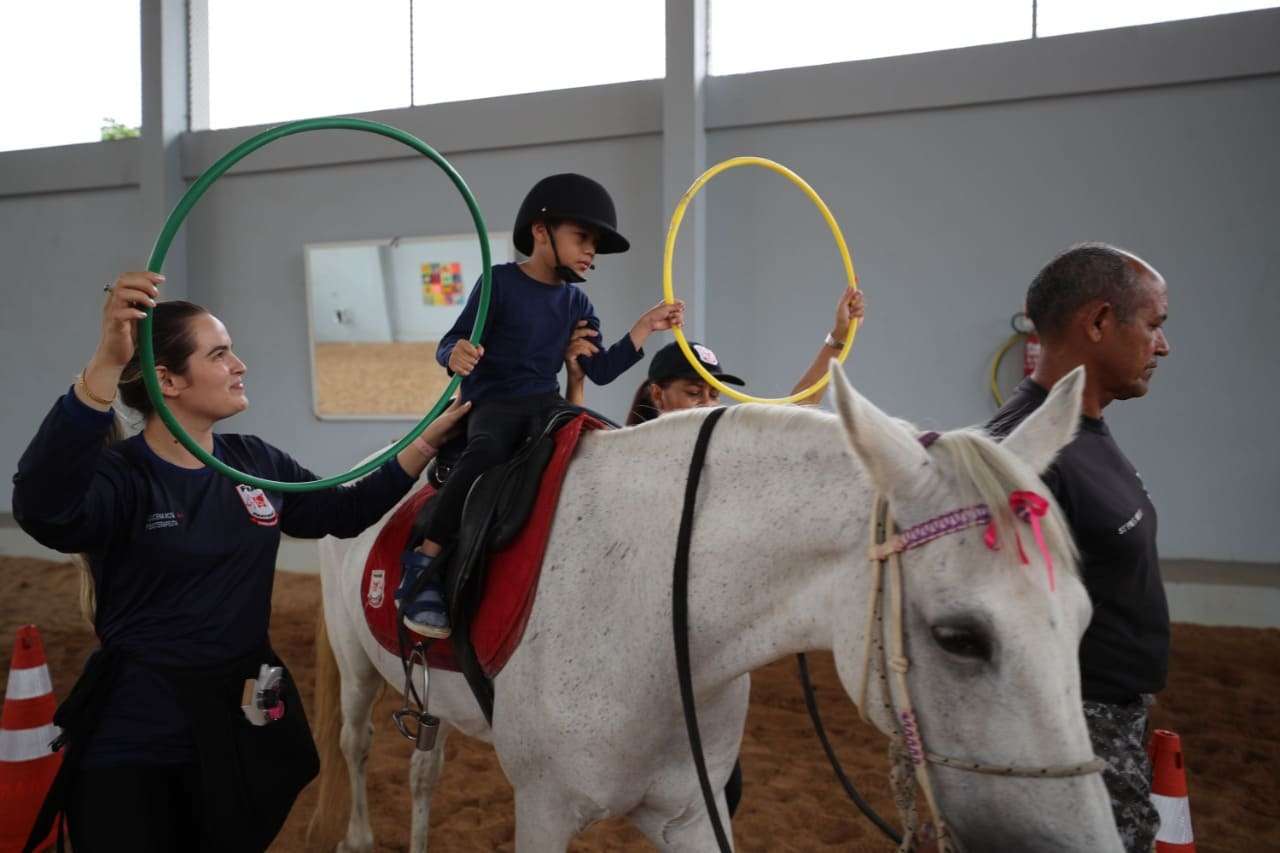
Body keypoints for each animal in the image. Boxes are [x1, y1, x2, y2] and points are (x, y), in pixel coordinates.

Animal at [307, 366, 1121, 850]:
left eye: (1084, 624)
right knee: (355, 744)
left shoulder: (691, 811)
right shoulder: (542, 808)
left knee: (423, 770)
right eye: (960, 637)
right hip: (356, 668)